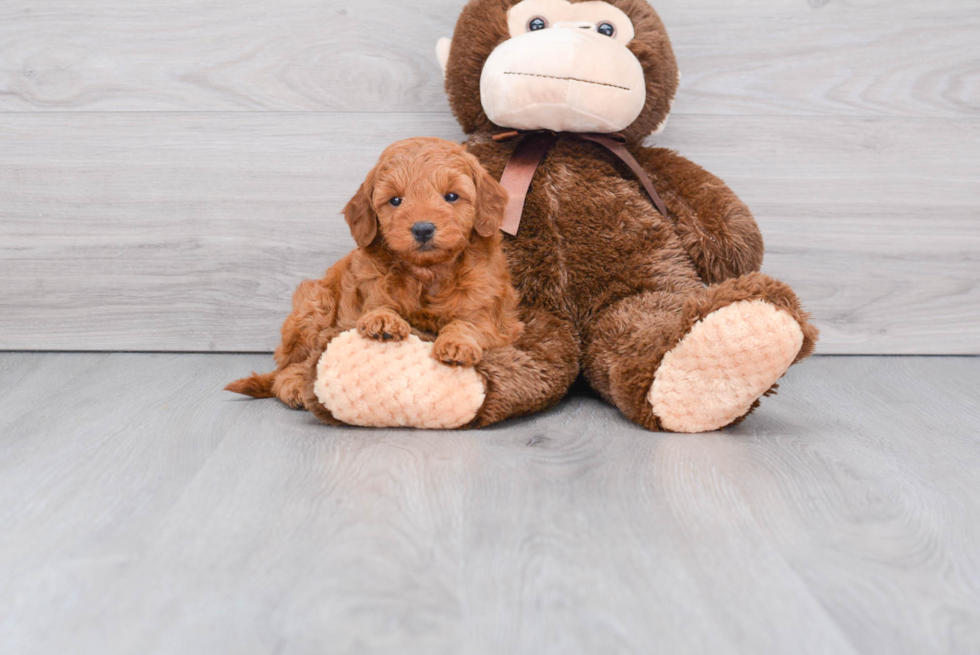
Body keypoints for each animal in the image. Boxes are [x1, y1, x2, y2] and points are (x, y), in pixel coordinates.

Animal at [228, 136, 520, 408]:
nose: (423, 228)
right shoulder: (370, 291)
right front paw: (383, 321)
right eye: (396, 200)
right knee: (290, 366)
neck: (427, 273)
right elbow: (378, 307)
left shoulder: (492, 318)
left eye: (451, 196)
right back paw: (295, 385)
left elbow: (468, 323)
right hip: (314, 304)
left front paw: (457, 344)